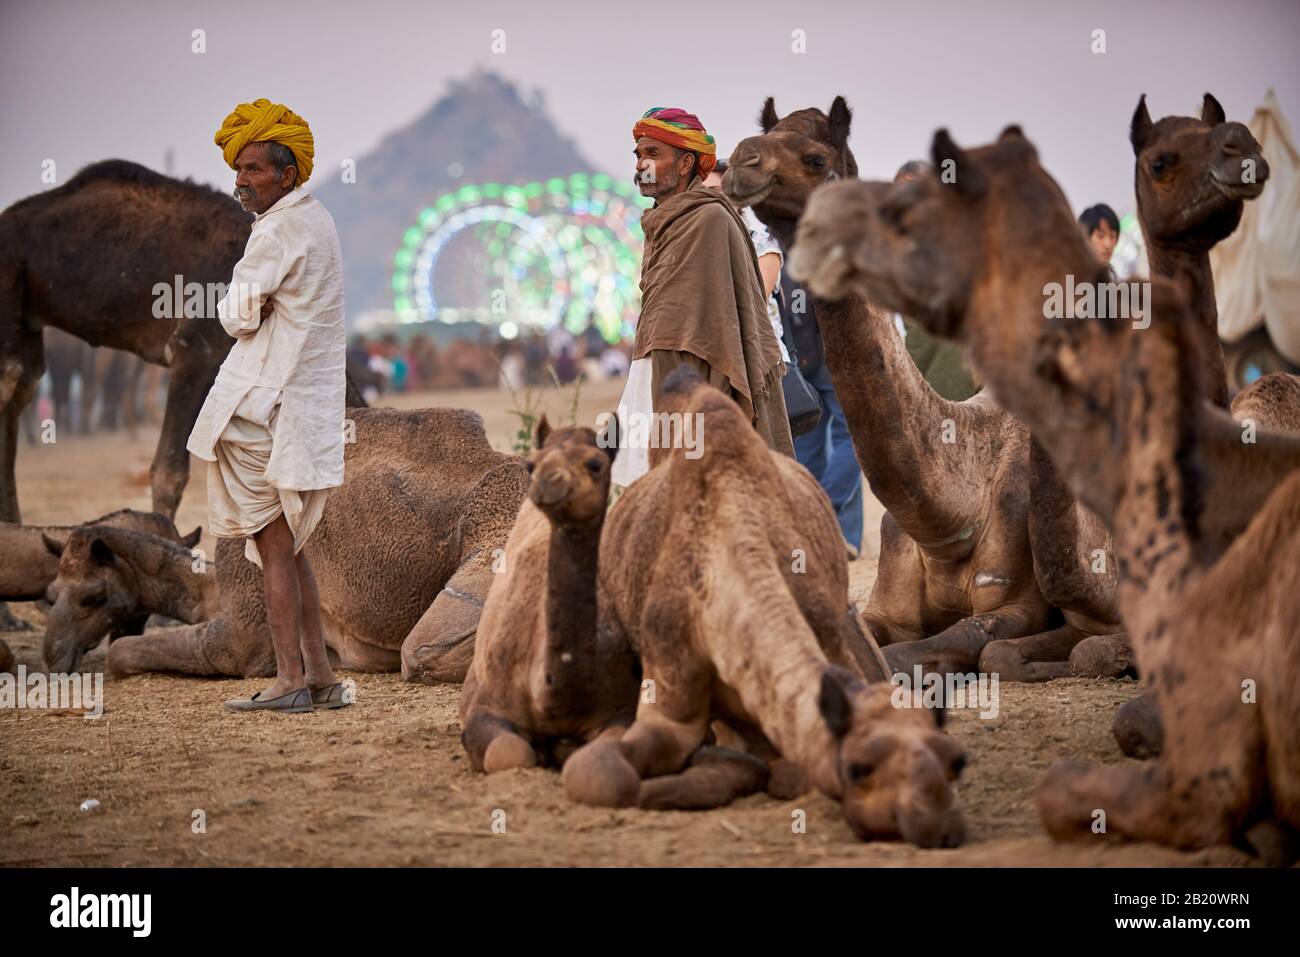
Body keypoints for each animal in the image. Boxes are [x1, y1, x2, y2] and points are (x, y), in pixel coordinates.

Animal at [40, 405, 527, 681]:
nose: (52, 655)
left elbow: (121, 653)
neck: (207, 587)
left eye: (92, 596)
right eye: (49, 594)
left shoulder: (239, 639)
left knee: (423, 650)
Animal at [457, 416, 639, 774]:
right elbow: (509, 751)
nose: (546, 483)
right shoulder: (488, 705)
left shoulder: (622, 707)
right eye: (532, 464)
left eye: (595, 464)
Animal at [559, 369, 967, 847]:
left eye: (956, 759)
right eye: (858, 768)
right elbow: (607, 774)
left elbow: (788, 769)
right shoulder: (667, 681)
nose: (938, 823)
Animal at [722, 97, 1055, 676]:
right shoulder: (887, 604)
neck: (952, 520)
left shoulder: (1018, 603)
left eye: (815, 158)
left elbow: (933, 648)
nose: (741, 161)